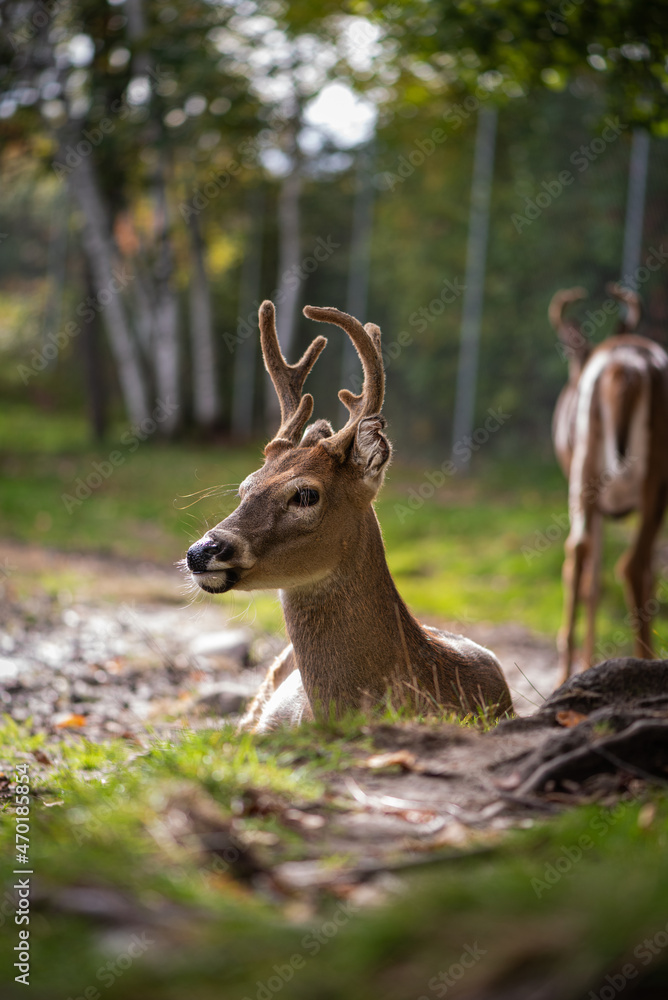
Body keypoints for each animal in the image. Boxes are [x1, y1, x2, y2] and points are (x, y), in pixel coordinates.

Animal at [548, 286, 668, 684]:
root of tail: (624, 369)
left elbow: (593, 581)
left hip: (588, 474)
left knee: (583, 553)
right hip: (652, 482)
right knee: (632, 564)